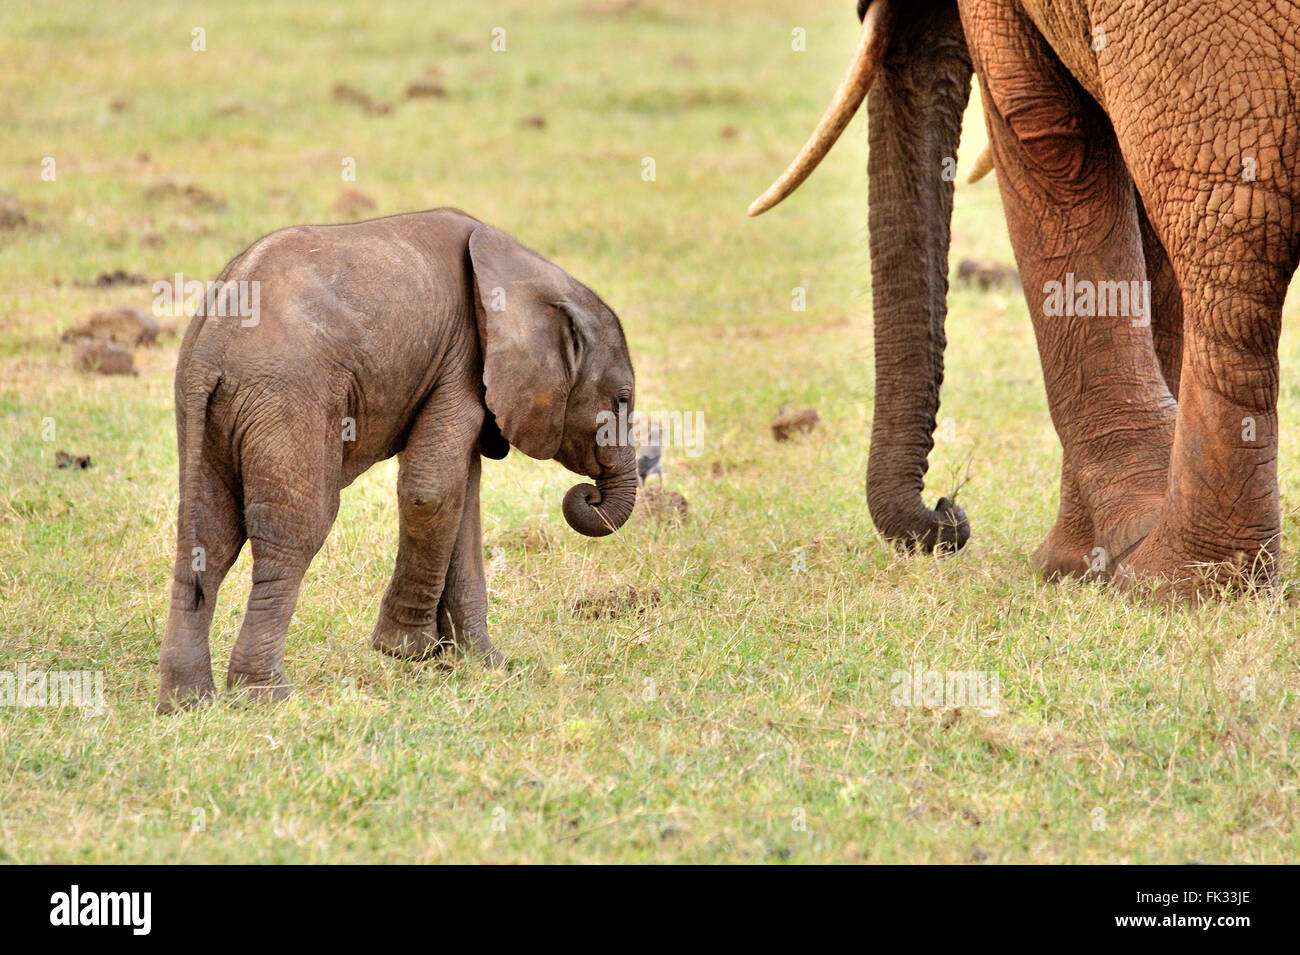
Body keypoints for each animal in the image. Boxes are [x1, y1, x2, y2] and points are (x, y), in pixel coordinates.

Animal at [157, 208, 637, 712]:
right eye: (622, 400)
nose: (589, 495)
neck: (531, 275)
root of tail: (213, 342)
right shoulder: (461, 357)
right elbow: (433, 490)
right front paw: (409, 652)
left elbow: (460, 496)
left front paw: (483, 662)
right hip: (288, 397)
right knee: (293, 532)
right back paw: (270, 698)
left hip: (204, 409)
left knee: (207, 536)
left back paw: (188, 704)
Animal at [750, 0, 1300, 598]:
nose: (948, 512)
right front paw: (1088, 561)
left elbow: (1042, 129)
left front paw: (1084, 561)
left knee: (1231, 240)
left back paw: (1175, 585)